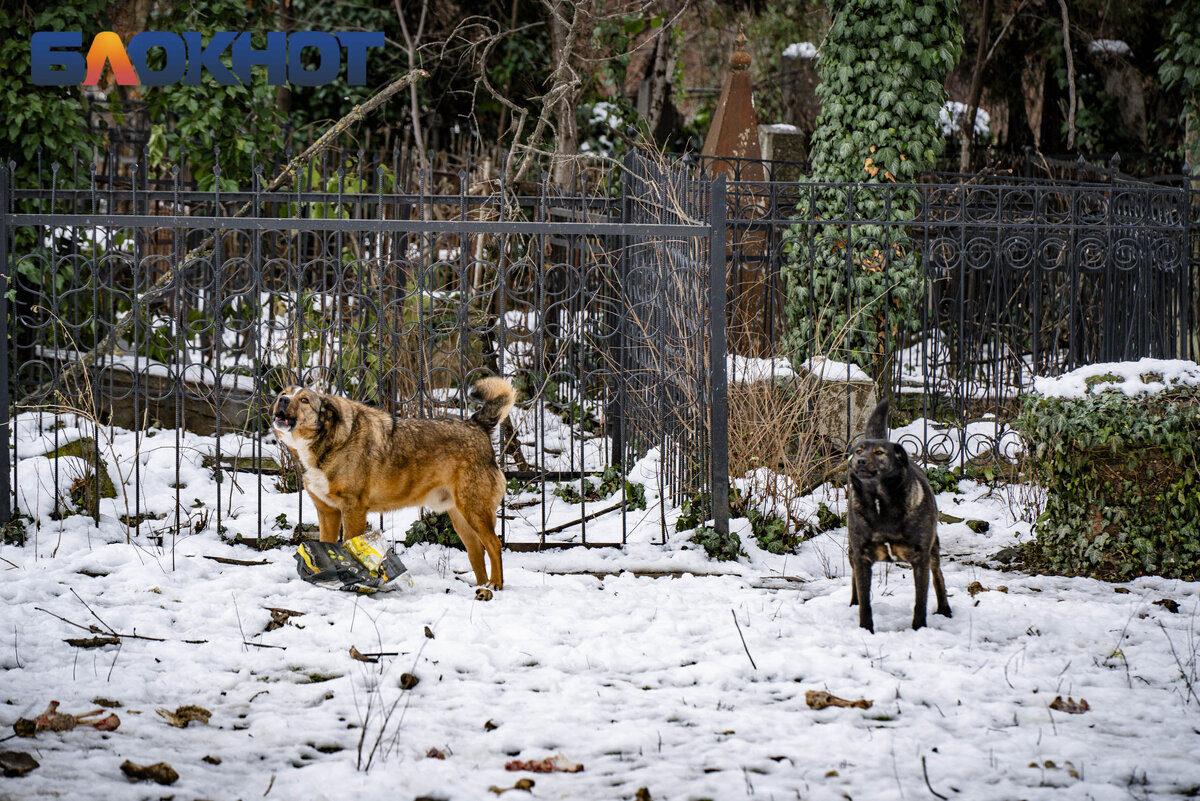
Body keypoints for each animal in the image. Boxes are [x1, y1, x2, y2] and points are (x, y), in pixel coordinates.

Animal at [270, 378, 513, 592]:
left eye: (304, 400)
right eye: (284, 393)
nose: (282, 400)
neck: (327, 439)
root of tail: (476, 425)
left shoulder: (353, 509)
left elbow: (348, 544)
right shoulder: (327, 512)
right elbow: (326, 543)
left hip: (474, 509)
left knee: (494, 545)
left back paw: (495, 585)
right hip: (460, 516)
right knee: (476, 551)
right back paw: (481, 586)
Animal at [849, 400, 950, 633]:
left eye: (879, 453)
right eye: (858, 451)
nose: (859, 461)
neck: (880, 502)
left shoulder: (920, 557)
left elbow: (920, 600)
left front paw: (919, 629)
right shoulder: (861, 556)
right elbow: (865, 602)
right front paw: (865, 630)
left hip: (933, 550)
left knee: (938, 576)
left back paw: (944, 609)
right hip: (851, 552)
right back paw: (853, 602)